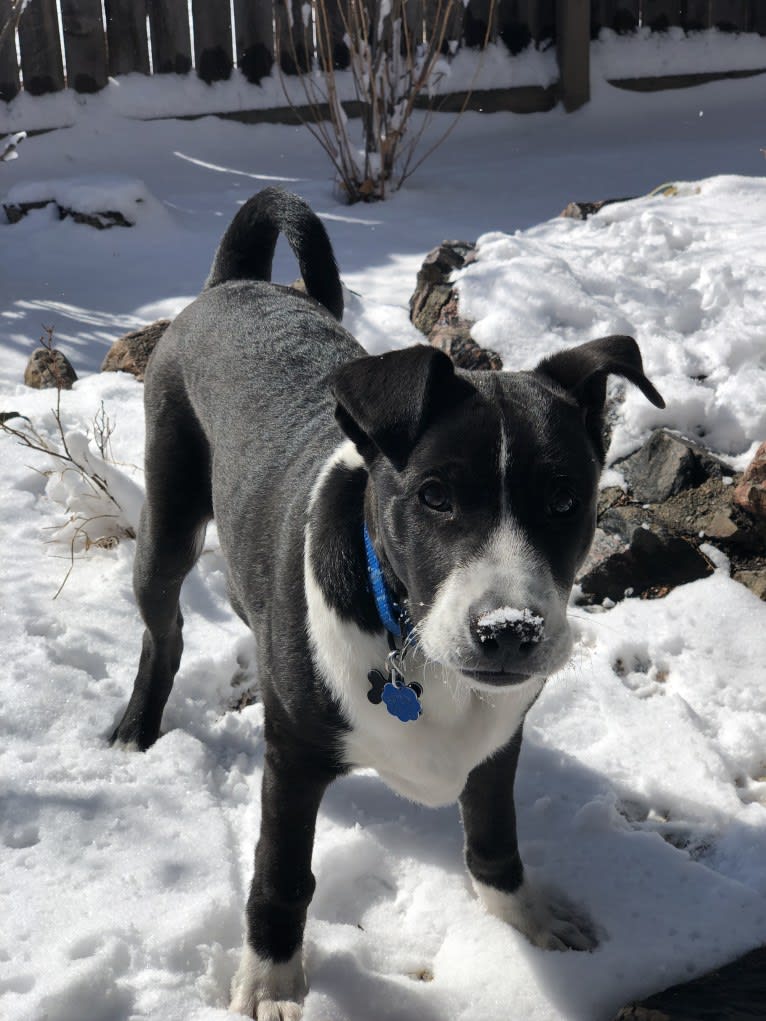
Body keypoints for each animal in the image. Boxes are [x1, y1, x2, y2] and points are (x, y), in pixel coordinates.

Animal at [113, 187, 665, 1016]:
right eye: (433, 495)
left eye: (566, 498)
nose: (510, 630)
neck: (414, 647)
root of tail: (235, 282)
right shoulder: (294, 759)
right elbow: (282, 873)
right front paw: (272, 978)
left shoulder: (501, 738)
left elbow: (494, 833)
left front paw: (525, 913)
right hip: (170, 510)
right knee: (164, 627)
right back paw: (135, 730)